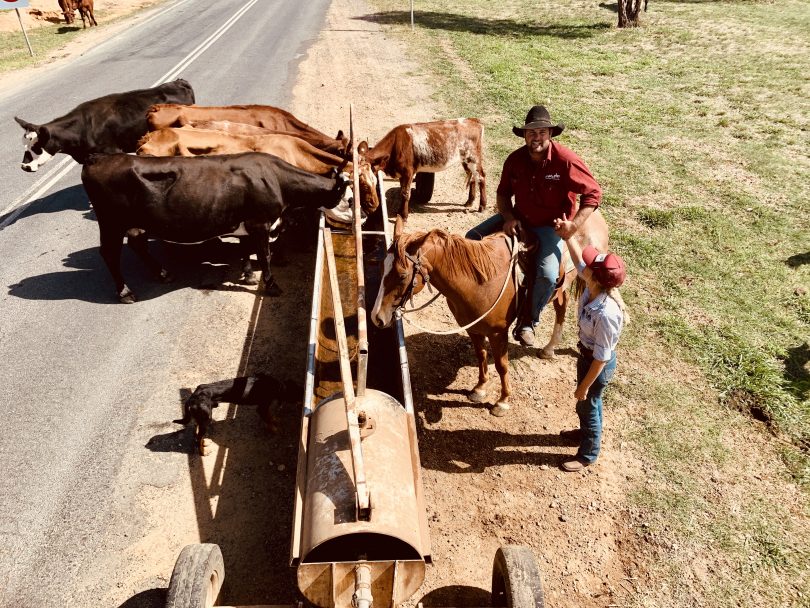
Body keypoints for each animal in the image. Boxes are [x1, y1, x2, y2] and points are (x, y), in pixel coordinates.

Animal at [78, 152, 350, 304]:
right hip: (111, 223)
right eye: (348, 198)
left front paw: (248, 275)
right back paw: (125, 293)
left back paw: (163, 274)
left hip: (136, 223)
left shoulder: (246, 224)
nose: (358, 215)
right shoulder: (260, 222)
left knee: (137, 244)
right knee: (110, 254)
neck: (275, 179)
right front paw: (271, 286)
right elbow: (264, 256)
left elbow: (245, 247)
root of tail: (98, 158)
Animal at [368, 211, 608, 416]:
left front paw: (502, 401)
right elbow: (481, 355)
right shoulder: (473, 328)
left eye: (402, 275)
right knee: (561, 304)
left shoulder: (497, 333)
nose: (377, 317)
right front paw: (480, 388)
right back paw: (549, 349)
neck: (479, 282)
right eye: (380, 268)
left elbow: (502, 366)